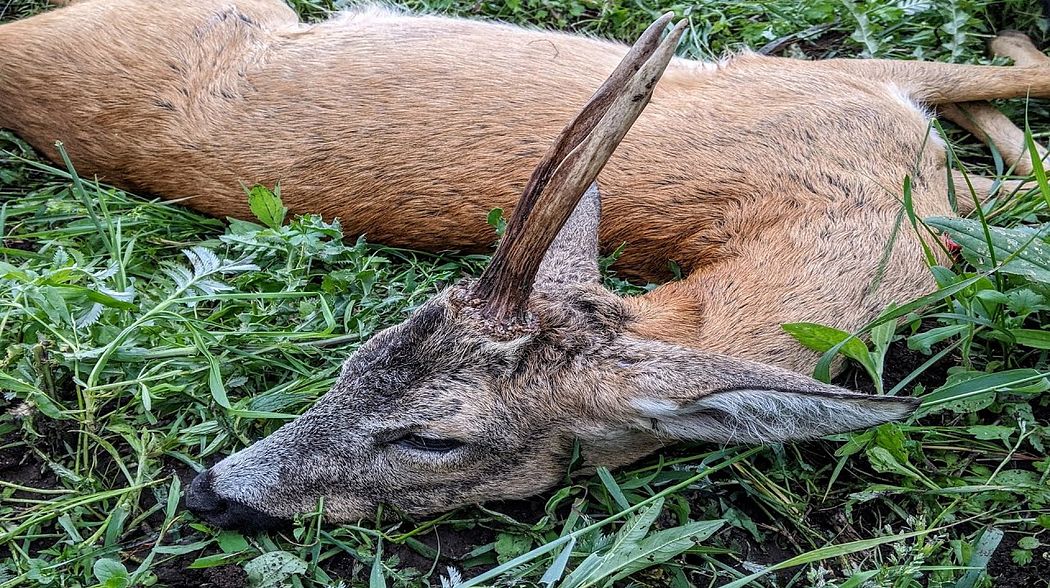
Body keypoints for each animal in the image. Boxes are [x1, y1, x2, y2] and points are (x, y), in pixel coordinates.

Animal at [0, 0, 1045, 525]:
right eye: (350, 363)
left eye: (433, 439)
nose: (209, 493)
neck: (859, 205)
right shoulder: (812, 77)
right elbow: (1028, 102)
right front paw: (1008, 38)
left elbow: (1018, 143)